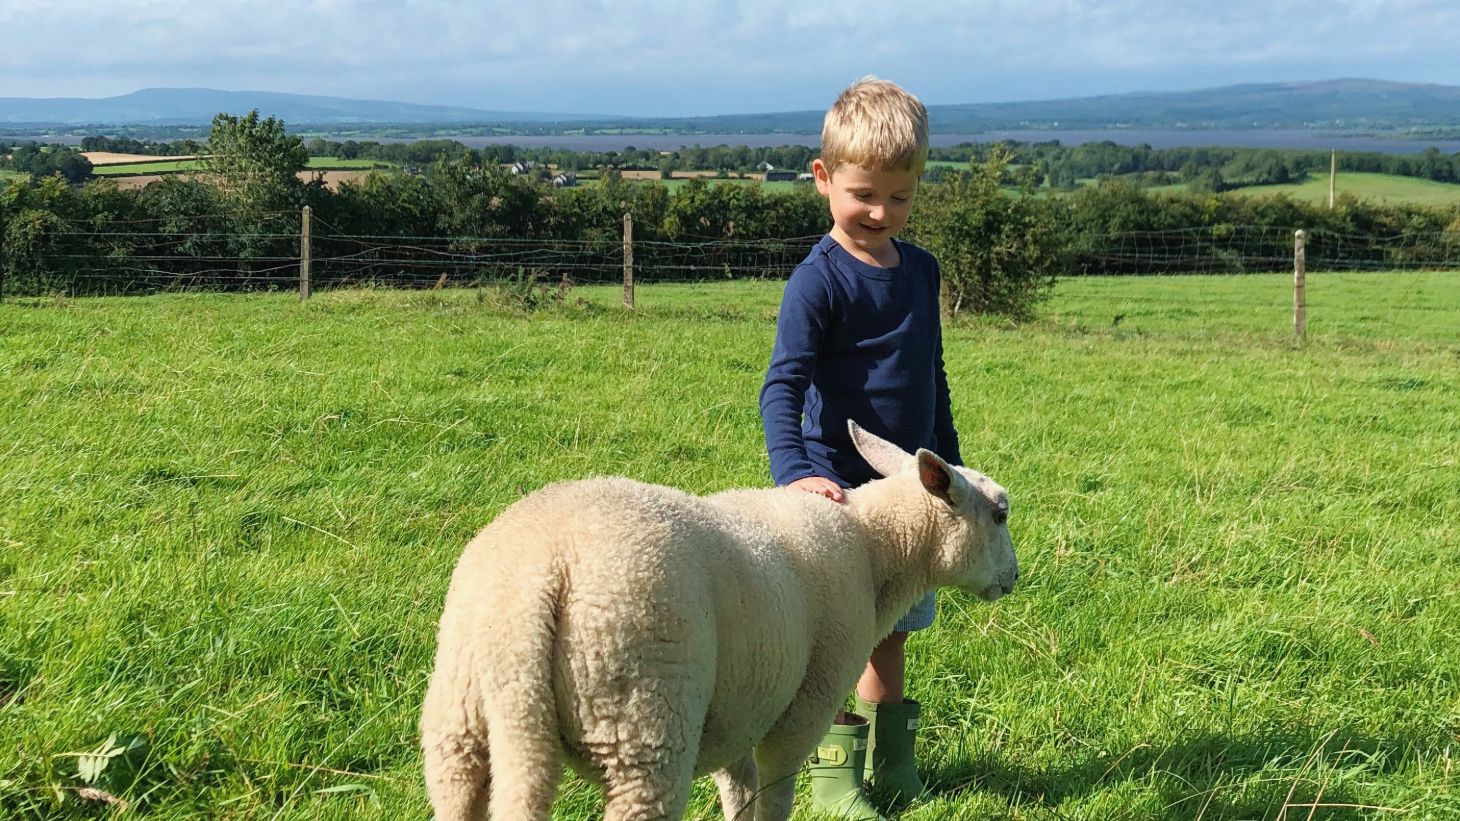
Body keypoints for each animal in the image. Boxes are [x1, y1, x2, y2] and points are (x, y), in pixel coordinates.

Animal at [420, 421, 1018, 820]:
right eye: (1000, 513)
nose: (1013, 578)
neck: (874, 550)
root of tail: (538, 577)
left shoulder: (740, 704)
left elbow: (739, 788)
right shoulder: (803, 706)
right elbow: (774, 795)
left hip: (460, 721)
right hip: (644, 717)